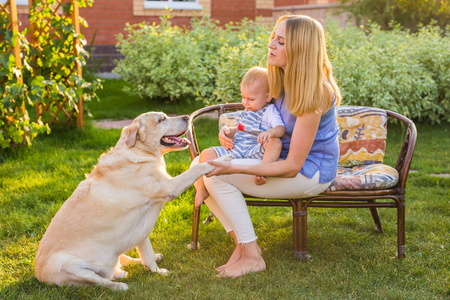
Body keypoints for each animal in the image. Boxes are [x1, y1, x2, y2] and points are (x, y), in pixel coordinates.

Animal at [34, 111, 230, 290]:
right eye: (161, 119)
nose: (187, 117)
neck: (138, 153)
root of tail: (39, 277)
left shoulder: (141, 228)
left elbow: (147, 253)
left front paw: (156, 270)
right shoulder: (170, 187)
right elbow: (197, 168)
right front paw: (222, 159)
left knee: (121, 262)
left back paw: (125, 270)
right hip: (67, 264)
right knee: (99, 280)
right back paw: (118, 285)